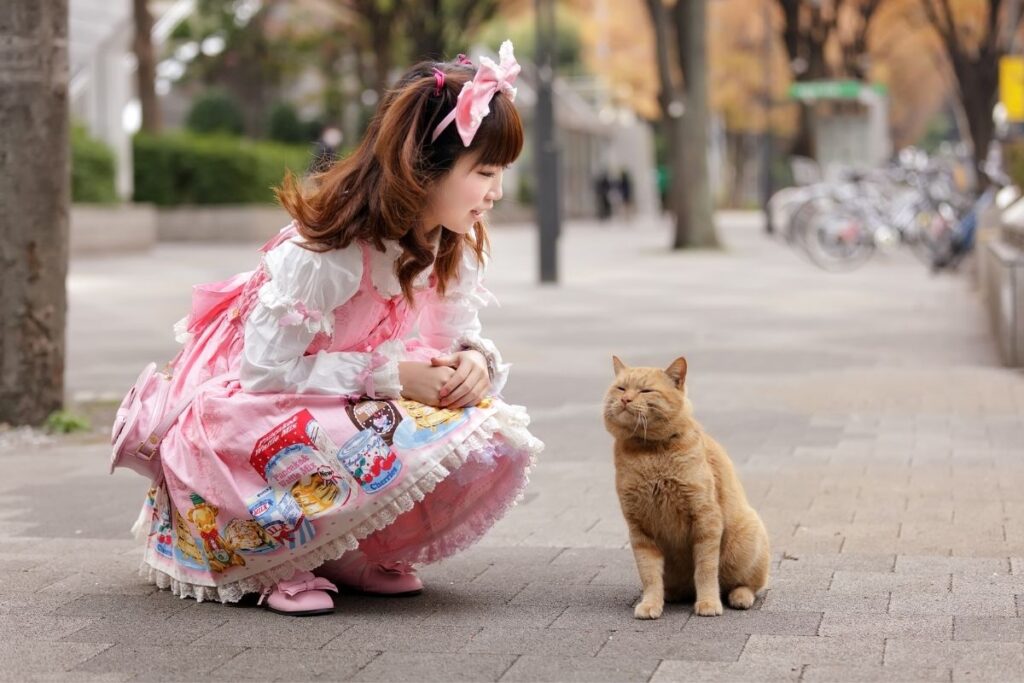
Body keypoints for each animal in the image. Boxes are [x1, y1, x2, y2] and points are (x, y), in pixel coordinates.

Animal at [602, 358, 765, 618]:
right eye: (621, 388)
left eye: (645, 390)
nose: (625, 399)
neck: (650, 453)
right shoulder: (639, 528)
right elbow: (649, 574)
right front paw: (651, 603)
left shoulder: (706, 519)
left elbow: (706, 571)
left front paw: (708, 603)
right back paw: (669, 595)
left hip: (745, 541)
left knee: (746, 584)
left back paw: (740, 597)